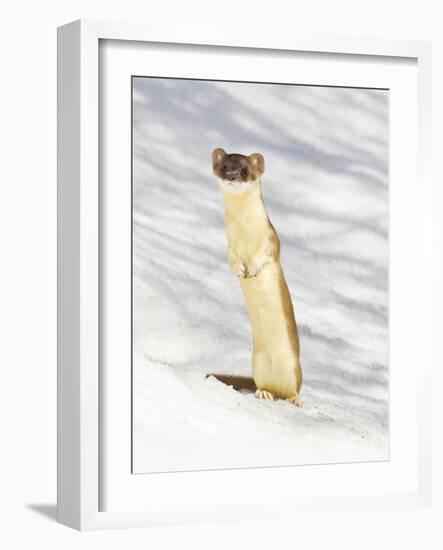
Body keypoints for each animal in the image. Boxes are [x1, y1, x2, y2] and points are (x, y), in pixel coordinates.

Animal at [213, 149, 304, 408]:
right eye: (224, 166)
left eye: (245, 170)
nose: (232, 176)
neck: (245, 232)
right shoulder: (230, 245)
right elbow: (231, 258)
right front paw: (239, 270)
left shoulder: (271, 240)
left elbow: (265, 254)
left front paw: (252, 268)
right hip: (257, 363)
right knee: (266, 386)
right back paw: (264, 393)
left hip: (294, 366)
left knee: (294, 388)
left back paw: (293, 399)